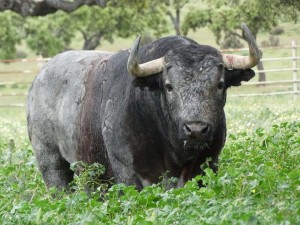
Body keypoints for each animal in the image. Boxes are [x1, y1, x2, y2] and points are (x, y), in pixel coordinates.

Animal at [26, 24, 260, 191]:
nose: (195, 129)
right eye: (169, 86)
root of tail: (38, 80)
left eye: (219, 84)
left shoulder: (209, 164)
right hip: (51, 161)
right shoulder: (127, 172)